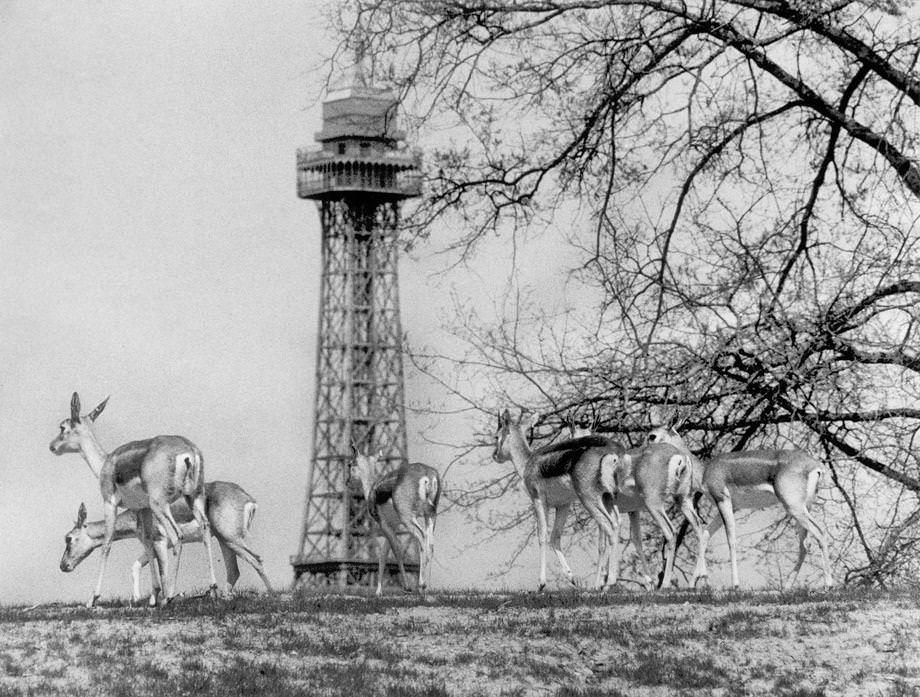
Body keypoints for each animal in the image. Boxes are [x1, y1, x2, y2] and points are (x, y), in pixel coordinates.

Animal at [49, 392, 218, 604]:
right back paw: (212, 589)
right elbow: (148, 544)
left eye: (68, 538)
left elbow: (107, 544)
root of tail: (189, 452)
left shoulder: (109, 503)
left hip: (160, 505)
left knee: (177, 535)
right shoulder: (142, 509)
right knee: (205, 529)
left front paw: (92, 598)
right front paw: (153, 595)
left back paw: (169, 597)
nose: (52, 446)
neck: (106, 463)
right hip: (192, 497)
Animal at [58, 478, 270, 600]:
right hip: (224, 541)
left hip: (230, 538)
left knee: (257, 559)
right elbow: (136, 566)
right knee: (234, 571)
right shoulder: (152, 546)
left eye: (68, 538)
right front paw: (137, 599)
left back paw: (271, 594)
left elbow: (163, 572)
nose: (63, 566)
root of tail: (249, 499)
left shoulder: (161, 543)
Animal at [348, 448, 442, 596]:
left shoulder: (383, 523)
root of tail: (427, 474)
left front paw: (406, 587)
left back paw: (421, 585)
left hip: (408, 518)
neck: (372, 489)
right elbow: (384, 553)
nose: (348, 482)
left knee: (422, 537)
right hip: (430, 515)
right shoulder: (394, 525)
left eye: (350, 464)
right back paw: (428, 587)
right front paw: (378, 591)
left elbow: (396, 550)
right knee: (430, 544)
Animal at [648, 424, 832, 588]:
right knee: (804, 545)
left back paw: (828, 584)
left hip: (794, 508)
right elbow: (706, 534)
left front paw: (735, 584)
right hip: (801, 510)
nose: (645, 452)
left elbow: (731, 539)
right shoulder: (731, 506)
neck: (705, 471)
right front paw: (693, 584)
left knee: (820, 532)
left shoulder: (722, 500)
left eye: (652, 436)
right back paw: (787, 586)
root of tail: (816, 466)